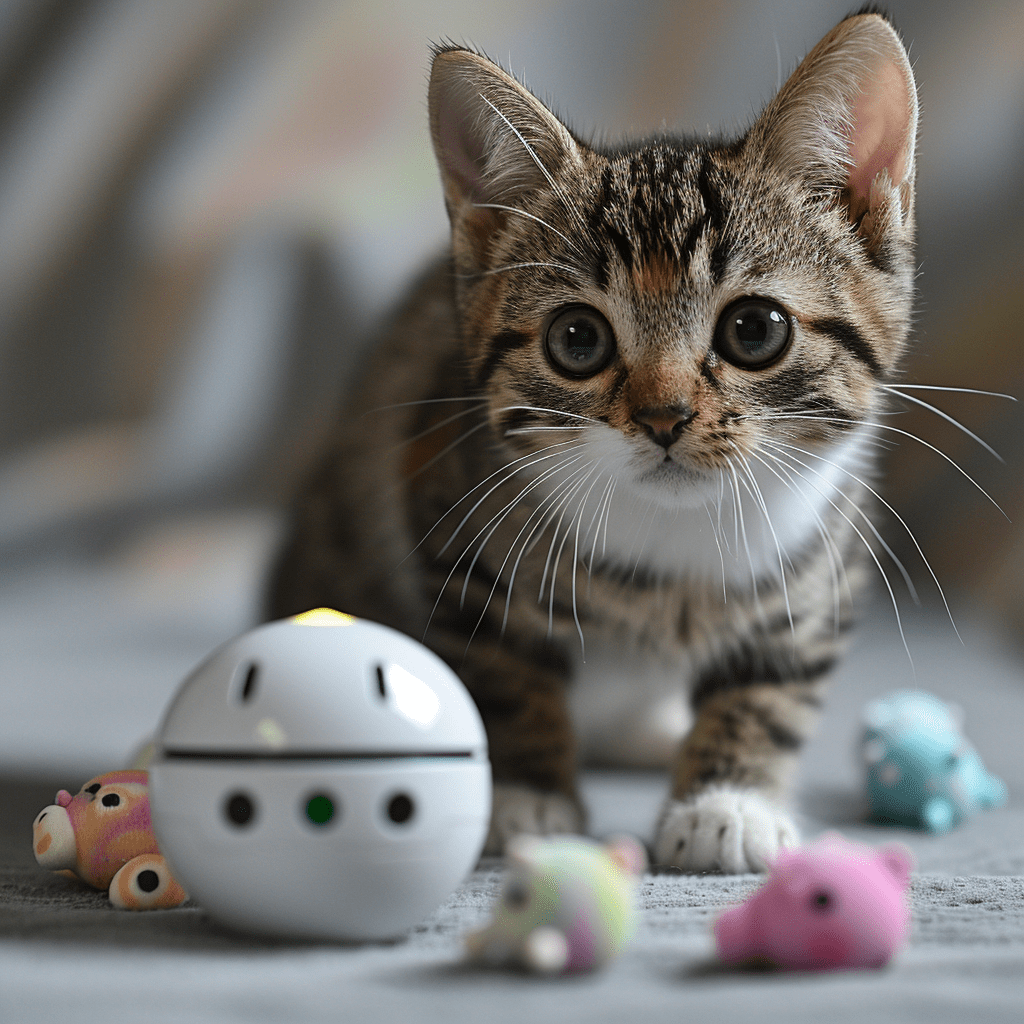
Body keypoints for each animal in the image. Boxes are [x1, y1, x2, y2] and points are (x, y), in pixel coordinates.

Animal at [266, 12, 921, 868]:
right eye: (577, 340)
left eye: (755, 330)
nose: (664, 417)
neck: (673, 559)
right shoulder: (448, 515)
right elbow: (504, 673)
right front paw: (526, 797)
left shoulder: (823, 566)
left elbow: (773, 688)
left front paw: (728, 801)